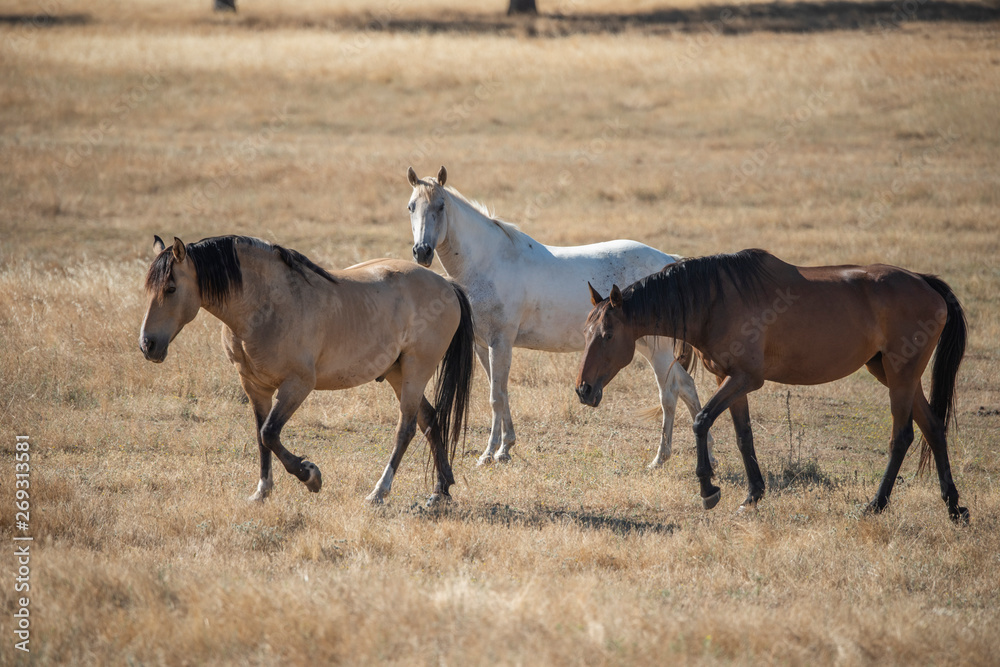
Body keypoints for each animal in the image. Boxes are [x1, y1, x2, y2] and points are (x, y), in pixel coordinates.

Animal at [138, 237, 476, 504]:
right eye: (148, 288)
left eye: (171, 288)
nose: (147, 345)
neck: (267, 305)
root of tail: (447, 285)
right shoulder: (255, 387)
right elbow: (261, 437)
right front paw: (262, 491)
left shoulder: (297, 385)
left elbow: (270, 433)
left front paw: (310, 475)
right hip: (397, 373)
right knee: (429, 419)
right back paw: (441, 490)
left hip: (416, 371)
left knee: (405, 429)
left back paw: (379, 492)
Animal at [402, 166, 716, 470]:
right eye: (411, 207)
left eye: (441, 206)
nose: (422, 252)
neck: (488, 262)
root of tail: (668, 261)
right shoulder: (483, 345)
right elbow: (501, 393)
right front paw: (506, 447)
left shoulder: (500, 342)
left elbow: (495, 397)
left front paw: (490, 453)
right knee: (686, 386)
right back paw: (708, 454)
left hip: (656, 351)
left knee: (669, 394)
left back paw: (660, 459)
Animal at [580, 248, 968, 524]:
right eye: (586, 332)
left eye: (608, 335)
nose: (583, 390)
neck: (714, 301)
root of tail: (924, 282)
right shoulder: (729, 379)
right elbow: (743, 436)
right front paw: (752, 496)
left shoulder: (745, 379)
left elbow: (701, 421)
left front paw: (708, 489)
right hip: (892, 373)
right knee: (934, 427)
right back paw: (953, 506)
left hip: (900, 375)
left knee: (902, 437)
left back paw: (875, 504)